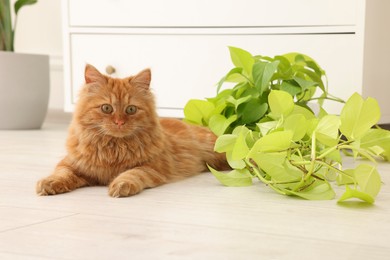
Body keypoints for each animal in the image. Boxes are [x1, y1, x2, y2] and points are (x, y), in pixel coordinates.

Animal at [36, 65, 229, 197]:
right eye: (106, 108)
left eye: (131, 109)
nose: (119, 122)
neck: (113, 148)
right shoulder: (70, 164)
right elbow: (62, 174)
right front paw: (49, 183)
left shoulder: (152, 167)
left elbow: (132, 174)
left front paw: (120, 185)